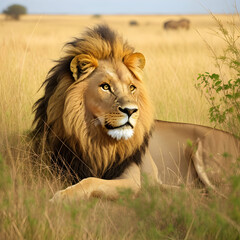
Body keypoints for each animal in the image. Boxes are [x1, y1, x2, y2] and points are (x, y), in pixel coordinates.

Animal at [31, 24, 240, 202]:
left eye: (132, 88)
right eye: (105, 87)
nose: (131, 110)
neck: (94, 141)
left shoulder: (132, 180)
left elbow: (90, 181)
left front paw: (61, 196)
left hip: (205, 153)